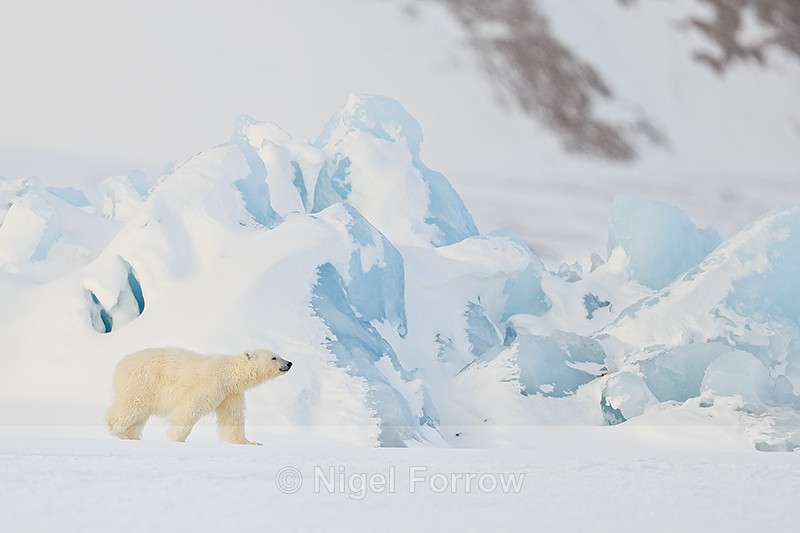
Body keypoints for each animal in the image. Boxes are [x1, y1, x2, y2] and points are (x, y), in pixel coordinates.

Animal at [105, 347, 292, 445]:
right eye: (274, 357)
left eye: (278, 355)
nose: (289, 363)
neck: (230, 372)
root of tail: (121, 364)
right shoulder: (212, 383)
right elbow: (191, 407)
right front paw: (176, 439)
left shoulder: (231, 394)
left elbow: (233, 418)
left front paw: (251, 442)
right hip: (141, 382)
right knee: (132, 407)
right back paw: (118, 433)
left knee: (139, 416)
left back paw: (132, 437)